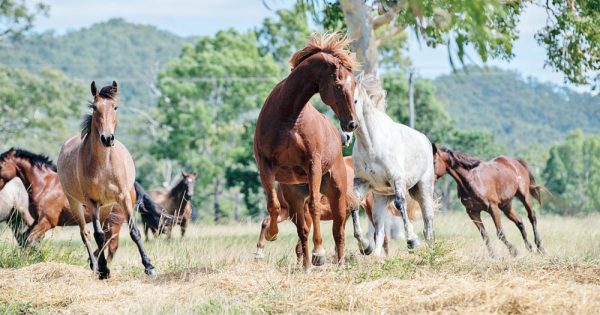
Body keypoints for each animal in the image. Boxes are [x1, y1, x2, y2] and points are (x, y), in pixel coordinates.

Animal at [57, 81, 156, 278]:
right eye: (95, 108)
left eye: (115, 107)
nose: (107, 138)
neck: (104, 165)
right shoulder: (92, 202)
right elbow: (97, 234)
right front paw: (103, 269)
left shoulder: (124, 198)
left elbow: (133, 231)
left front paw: (149, 266)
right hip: (76, 203)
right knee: (86, 233)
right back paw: (96, 265)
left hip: (107, 206)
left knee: (105, 232)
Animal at [254, 32, 358, 270]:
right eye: (338, 85)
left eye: (355, 84)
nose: (352, 124)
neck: (288, 115)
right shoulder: (266, 166)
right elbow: (272, 205)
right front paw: (272, 234)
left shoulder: (313, 166)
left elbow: (314, 206)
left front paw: (320, 251)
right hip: (295, 199)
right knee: (303, 231)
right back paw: (307, 266)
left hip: (336, 191)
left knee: (338, 230)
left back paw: (338, 263)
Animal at [350, 75, 434, 258]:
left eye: (355, 100)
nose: (348, 126)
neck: (371, 144)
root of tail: (425, 140)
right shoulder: (362, 182)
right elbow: (353, 204)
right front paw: (364, 246)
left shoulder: (397, 180)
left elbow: (400, 204)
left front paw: (412, 241)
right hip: (381, 198)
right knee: (380, 231)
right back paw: (376, 256)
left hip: (422, 189)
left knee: (428, 224)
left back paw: (432, 251)